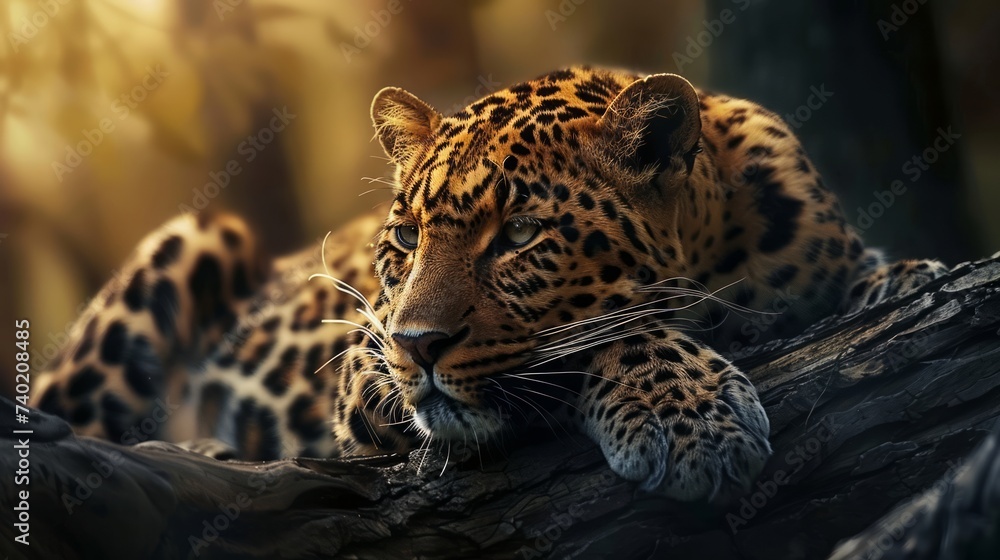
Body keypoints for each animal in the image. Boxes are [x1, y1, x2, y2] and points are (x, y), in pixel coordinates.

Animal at [31, 66, 949, 502]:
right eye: (405, 239)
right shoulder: (365, 369)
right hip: (193, 239)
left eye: (518, 237)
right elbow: (607, 333)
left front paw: (908, 280)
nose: (418, 346)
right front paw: (686, 417)